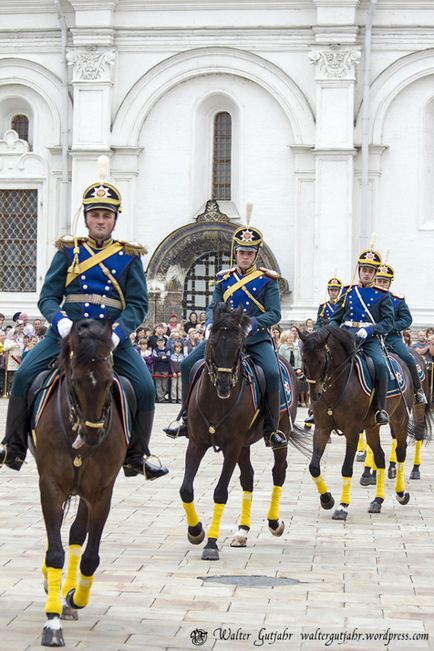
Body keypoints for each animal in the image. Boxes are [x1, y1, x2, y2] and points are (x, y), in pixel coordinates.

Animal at [33, 320, 125, 648]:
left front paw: (75, 596)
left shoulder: (101, 492)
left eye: (109, 380)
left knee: (74, 533)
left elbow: (90, 556)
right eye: (75, 380)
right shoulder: (50, 484)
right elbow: (55, 551)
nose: (93, 435)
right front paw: (52, 622)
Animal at [178, 304, 306, 564]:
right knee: (248, 477)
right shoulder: (196, 443)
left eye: (238, 345)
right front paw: (196, 531)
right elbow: (186, 489)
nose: (224, 385)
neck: (216, 402)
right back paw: (242, 532)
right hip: (245, 445)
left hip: (278, 436)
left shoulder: (232, 446)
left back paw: (274, 523)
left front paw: (211, 544)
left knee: (278, 473)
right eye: (212, 342)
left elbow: (220, 493)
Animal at [300, 328, 432, 524]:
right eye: (303, 359)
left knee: (404, 448)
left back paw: (402, 490)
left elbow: (346, 468)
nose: (315, 395)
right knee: (380, 456)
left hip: (402, 418)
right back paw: (377, 500)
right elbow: (314, 467)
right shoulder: (322, 429)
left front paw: (342, 506)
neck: (338, 387)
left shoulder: (352, 431)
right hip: (372, 426)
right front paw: (327, 499)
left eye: (321, 360)